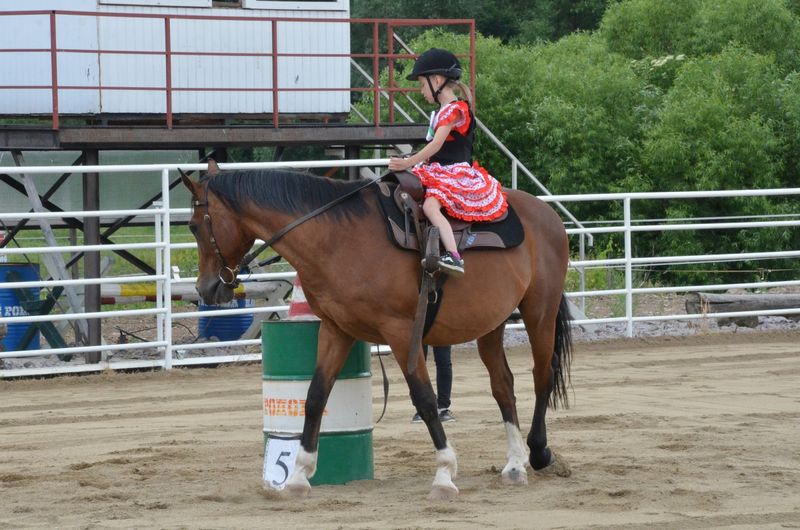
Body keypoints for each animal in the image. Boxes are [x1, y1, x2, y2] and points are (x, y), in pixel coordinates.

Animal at [181, 162, 573, 500]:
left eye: (195, 226)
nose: (206, 288)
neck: (338, 237)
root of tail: (547, 215)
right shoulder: (335, 330)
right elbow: (315, 396)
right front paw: (298, 475)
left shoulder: (401, 333)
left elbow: (425, 400)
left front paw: (445, 473)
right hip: (490, 324)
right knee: (503, 385)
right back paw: (514, 465)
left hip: (539, 312)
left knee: (542, 375)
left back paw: (538, 452)